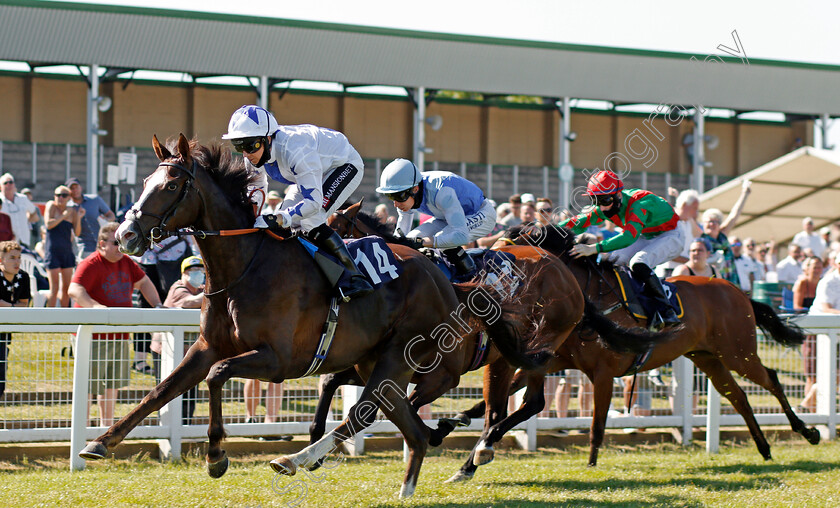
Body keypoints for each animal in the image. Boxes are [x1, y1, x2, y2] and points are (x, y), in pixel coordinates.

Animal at [75, 134, 556, 496]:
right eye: (144, 180)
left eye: (172, 186)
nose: (127, 235)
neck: (246, 264)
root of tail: (449, 283)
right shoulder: (208, 346)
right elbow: (164, 390)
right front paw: (100, 442)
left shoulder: (278, 360)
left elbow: (216, 377)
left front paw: (216, 456)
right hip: (378, 360)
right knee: (406, 426)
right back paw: (401, 480)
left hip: (403, 358)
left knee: (372, 412)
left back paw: (300, 459)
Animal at [446, 224, 820, 482]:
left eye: (510, 248)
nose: (475, 273)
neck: (590, 295)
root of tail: (738, 290)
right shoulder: (553, 360)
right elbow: (506, 396)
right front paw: (461, 422)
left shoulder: (602, 373)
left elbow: (596, 425)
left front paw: (591, 464)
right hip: (707, 357)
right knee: (738, 396)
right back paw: (764, 448)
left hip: (738, 352)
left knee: (770, 379)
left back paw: (807, 431)